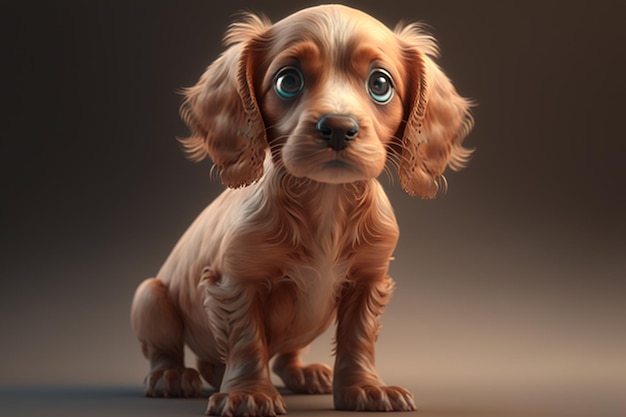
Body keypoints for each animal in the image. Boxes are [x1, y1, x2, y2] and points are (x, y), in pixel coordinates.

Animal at [133, 4, 472, 416]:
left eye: (380, 84)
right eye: (288, 81)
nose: (338, 127)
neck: (327, 199)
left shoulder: (369, 280)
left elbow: (359, 337)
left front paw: (366, 388)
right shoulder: (236, 281)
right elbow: (246, 340)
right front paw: (249, 393)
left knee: (284, 355)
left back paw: (305, 374)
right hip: (150, 296)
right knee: (166, 349)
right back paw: (171, 376)